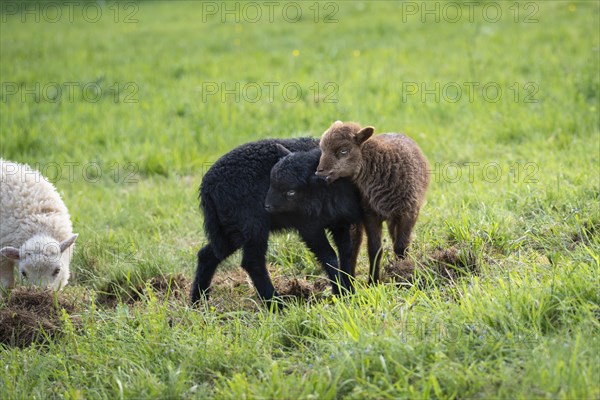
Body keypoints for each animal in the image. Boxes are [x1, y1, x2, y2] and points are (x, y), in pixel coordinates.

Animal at [0, 158, 78, 292]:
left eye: (57, 270)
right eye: (23, 273)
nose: (40, 293)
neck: (40, 227)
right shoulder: (2, 260)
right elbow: (7, 284)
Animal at [191, 137, 360, 306]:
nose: (267, 206)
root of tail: (207, 187)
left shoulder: (340, 223)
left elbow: (346, 252)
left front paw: (348, 291)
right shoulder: (308, 225)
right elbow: (329, 256)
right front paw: (340, 292)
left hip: (232, 228)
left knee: (207, 255)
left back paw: (198, 302)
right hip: (252, 225)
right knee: (253, 262)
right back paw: (276, 304)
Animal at [316, 122, 428, 284]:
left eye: (343, 151)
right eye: (322, 150)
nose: (319, 173)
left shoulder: (409, 211)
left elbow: (401, 246)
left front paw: (402, 273)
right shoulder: (369, 213)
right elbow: (374, 249)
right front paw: (373, 282)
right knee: (354, 246)